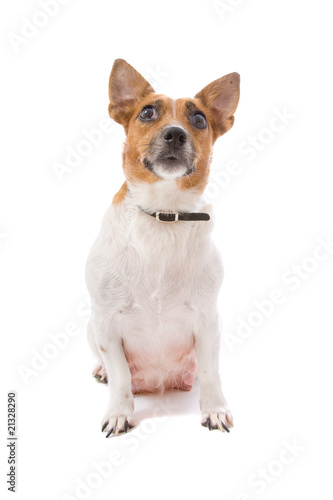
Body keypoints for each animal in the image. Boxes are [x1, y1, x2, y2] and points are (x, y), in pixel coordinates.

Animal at [85, 58, 239, 436]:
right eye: (147, 112)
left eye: (199, 119)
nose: (175, 133)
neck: (163, 215)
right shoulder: (105, 322)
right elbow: (121, 375)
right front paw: (119, 412)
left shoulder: (207, 321)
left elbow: (211, 372)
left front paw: (214, 409)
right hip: (91, 327)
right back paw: (102, 370)